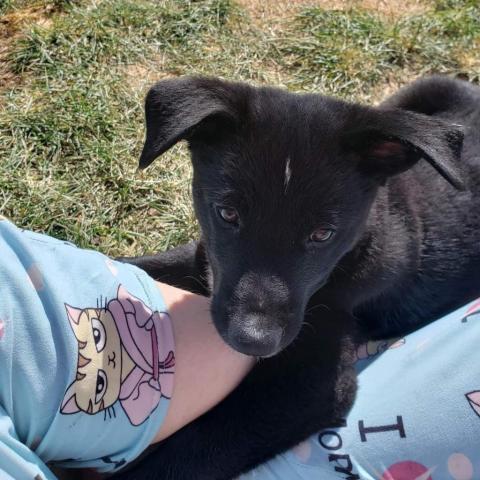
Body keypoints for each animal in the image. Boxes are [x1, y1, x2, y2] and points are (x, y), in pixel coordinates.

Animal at [116, 77, 480, 478]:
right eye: (227, 213)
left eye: (323, 234)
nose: (253, 340)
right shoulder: (204, 262)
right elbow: (136, 265)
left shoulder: (316, 384)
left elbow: (192, 451)